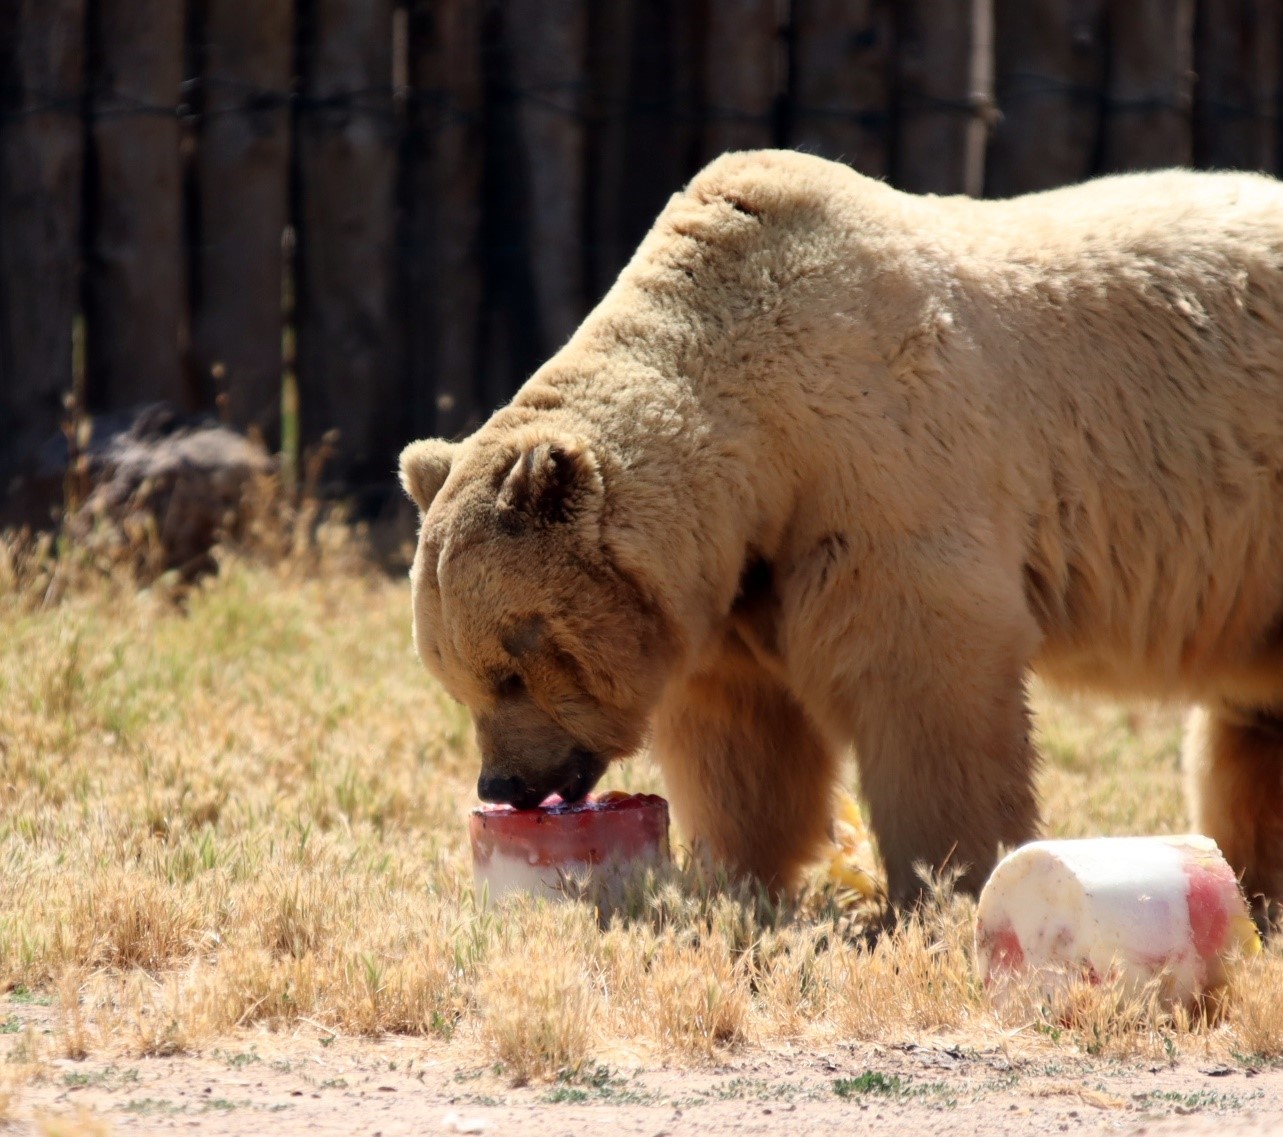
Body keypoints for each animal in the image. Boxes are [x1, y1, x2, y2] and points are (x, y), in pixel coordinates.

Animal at [397, 151, 1283, 913]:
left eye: (510, 667)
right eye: (452, 677)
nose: (502, 785)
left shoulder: (885, 466)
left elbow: (927, 679)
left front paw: (943, 881)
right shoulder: (740, 576)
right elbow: (742, 737)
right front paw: (732, 876)